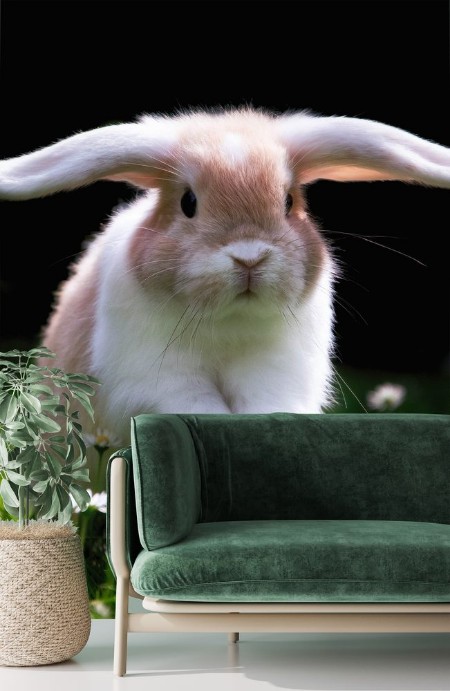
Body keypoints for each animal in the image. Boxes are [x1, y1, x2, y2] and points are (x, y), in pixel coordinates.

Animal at [1, 107, 449, 443]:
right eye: (188, 202)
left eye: (289, 202)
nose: (249, 257)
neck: (228, 321)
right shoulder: (156, 379)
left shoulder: (275, 372)